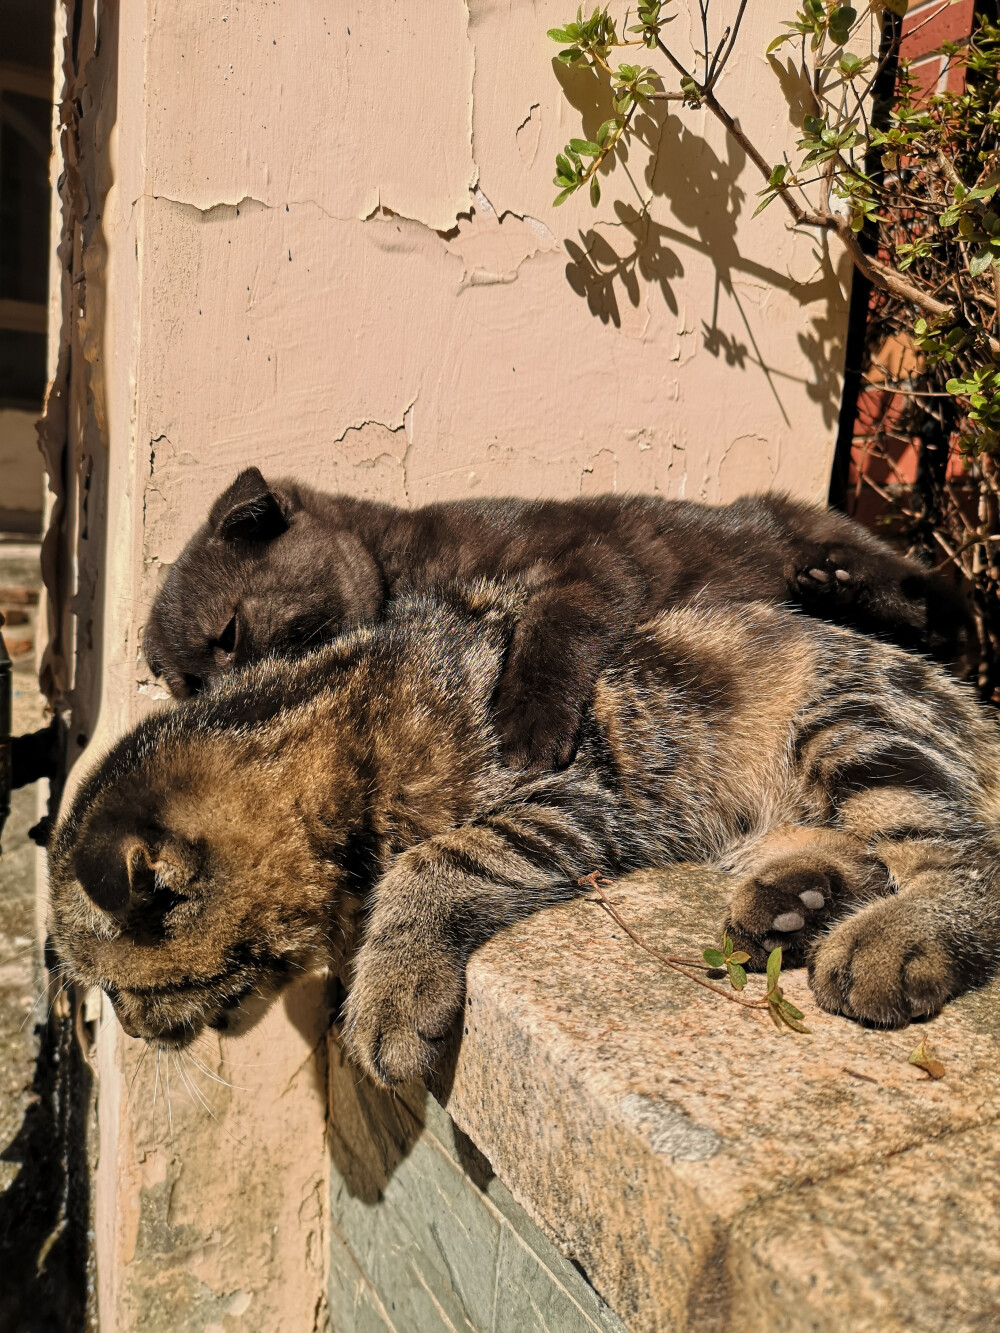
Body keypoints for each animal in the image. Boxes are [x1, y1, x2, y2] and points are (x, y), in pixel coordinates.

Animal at [53, 583, 1000, 1082]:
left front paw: (392, 988)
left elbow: (438, 858)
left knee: (961, 851)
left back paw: (893, 938)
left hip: (853, 726)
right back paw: (794, 902)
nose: (129, 1033)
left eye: (121, 989)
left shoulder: (572, 796)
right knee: (862, 853)